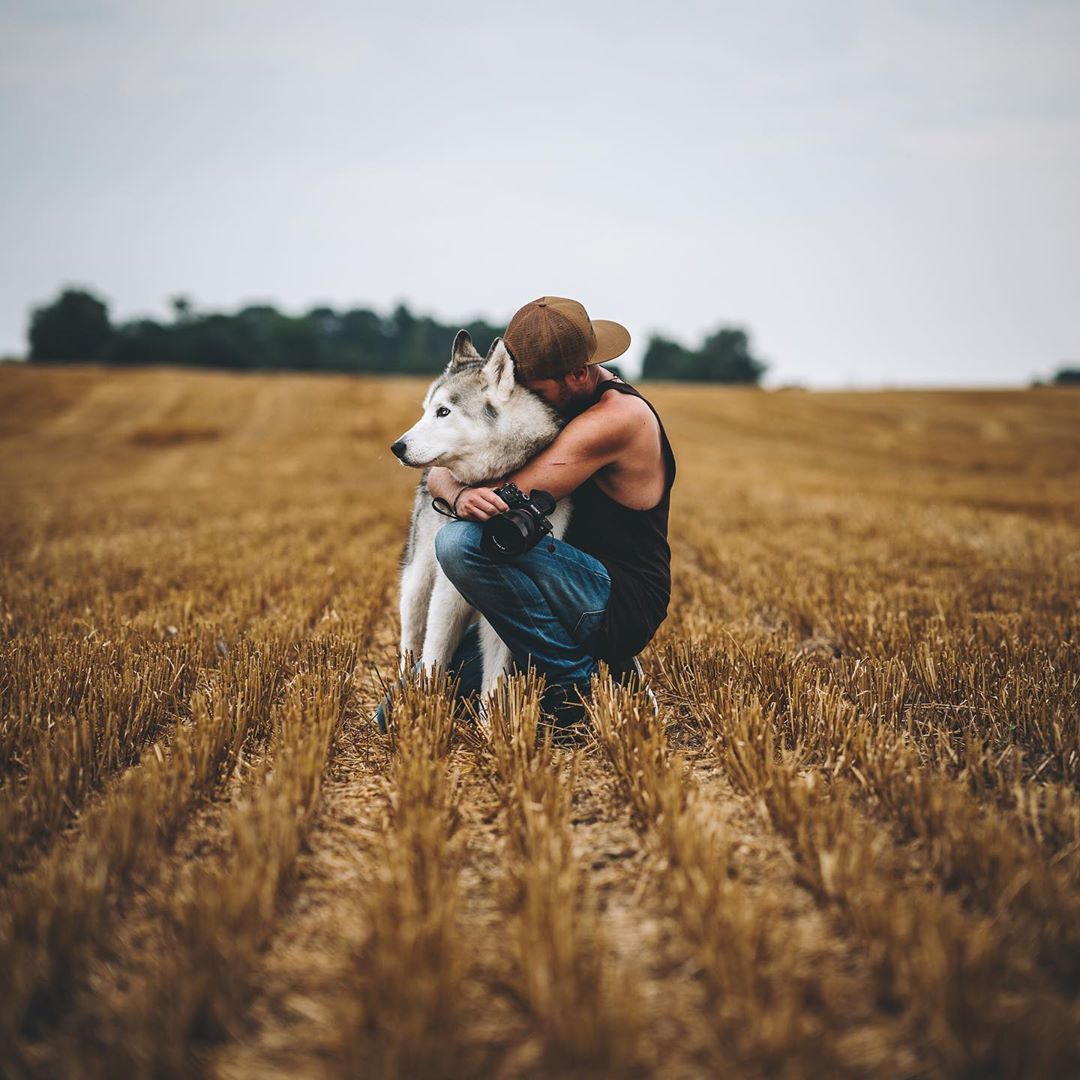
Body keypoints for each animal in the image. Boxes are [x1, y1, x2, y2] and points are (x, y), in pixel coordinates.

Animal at [390, 332, 574, 695]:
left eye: (443, 412)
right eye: (426, 410)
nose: (397, 447)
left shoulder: (503, 611)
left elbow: (495, 676)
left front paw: (493, 712)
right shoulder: (446, 593)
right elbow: (433, 656)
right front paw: (426, 702)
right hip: (418, 579)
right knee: (410, 639)